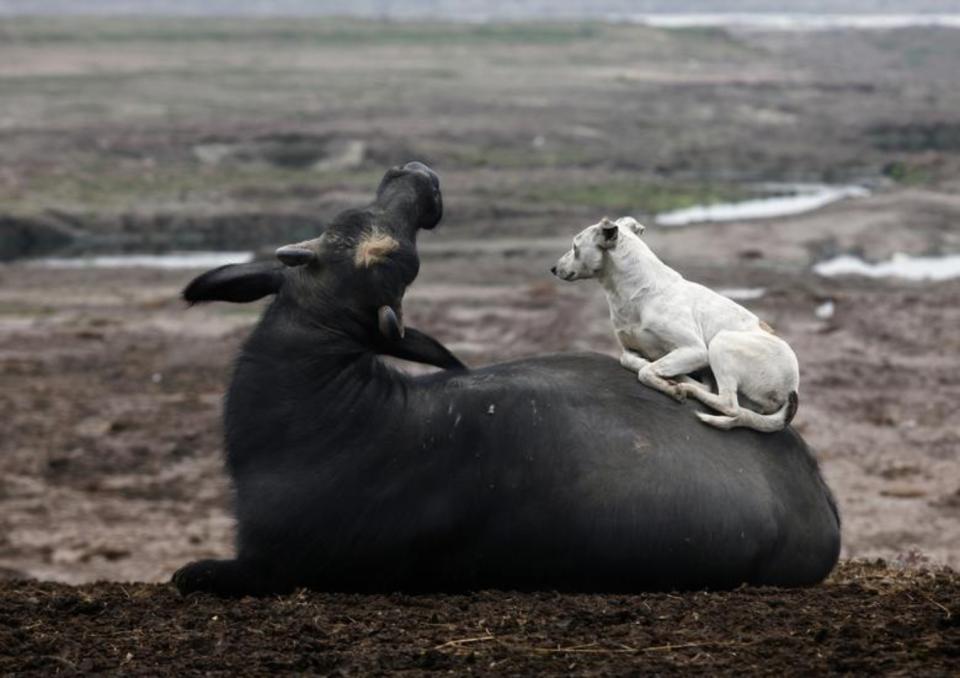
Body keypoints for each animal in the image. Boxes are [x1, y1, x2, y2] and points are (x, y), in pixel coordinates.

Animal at [552, 215, 800, 432]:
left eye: (575, 246)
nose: (553, 269)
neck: (637, 291)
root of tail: (792, 387)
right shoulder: (629, 347)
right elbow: (630, 360)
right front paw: (651, 367)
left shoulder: (696, 350)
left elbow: (647, 372)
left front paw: (667, 384)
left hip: (721, 343)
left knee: (729, 404)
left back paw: (686, 386)